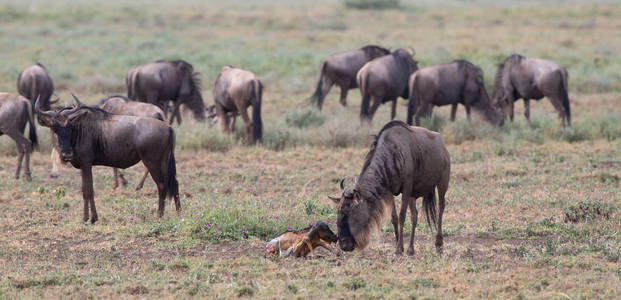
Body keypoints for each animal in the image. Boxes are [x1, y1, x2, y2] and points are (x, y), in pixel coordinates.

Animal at [36, 94, 178, 223]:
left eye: (70, 127)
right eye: (54, 128)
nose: (66, 154)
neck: (80, 130)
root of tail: (168, 127)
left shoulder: (86, 164)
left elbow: (88, 191)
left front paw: (89, 218)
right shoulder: (83, 166)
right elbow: (85, 190)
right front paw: (90, 217)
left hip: (152, 163)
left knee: (161, 185)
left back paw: (159, 215)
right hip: (164, 162)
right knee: (174, 183)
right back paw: (179, 212)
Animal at [330, 120, 450, 255]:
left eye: (349, 211)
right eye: (338, 211)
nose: (343, 245)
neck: (391, 154)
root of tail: (442, 144)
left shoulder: (407, 188)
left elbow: (402, 216)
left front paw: (398, 249)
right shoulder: (390, 191)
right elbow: (394, 218)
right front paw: (400, 246)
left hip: (443, 182)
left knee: (441, 207)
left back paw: (439, 244)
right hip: (413, 195)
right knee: (415, 215)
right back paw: (411, 249)